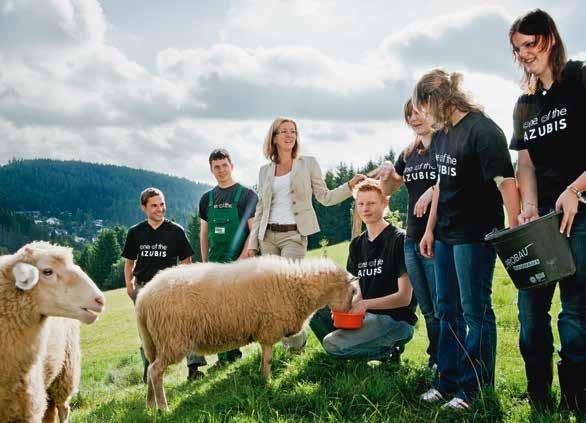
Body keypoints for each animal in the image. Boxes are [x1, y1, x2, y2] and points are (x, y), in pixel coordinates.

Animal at [136, 255, 356, 410]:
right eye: (354, 291)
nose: (347, 314)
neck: (296, 285)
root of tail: (143, 298)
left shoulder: (266, 331)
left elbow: (265, 359)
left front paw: (263, 380)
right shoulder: (269, 330)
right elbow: (268, 360)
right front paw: (267, 382)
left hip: (154, 342)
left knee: (151, 370)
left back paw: (150, 406)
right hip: (172, 339)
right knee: (155, 371)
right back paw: (163, 407)